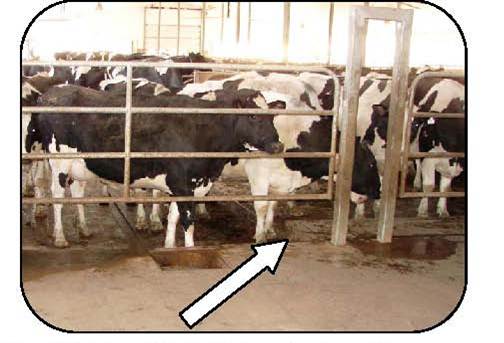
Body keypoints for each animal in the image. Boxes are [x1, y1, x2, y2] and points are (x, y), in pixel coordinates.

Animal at [26, 84, 284, 249]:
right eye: (252, 116)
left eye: (272, 116)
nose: (278, 145)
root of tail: (51, 93)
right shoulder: (183, 184)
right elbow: (188, 222)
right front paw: (190, 250)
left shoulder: (182, 185)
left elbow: (173, 217)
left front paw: (169, 246)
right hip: (59, 161)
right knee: (57, 197)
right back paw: (60, 237)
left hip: (79, 165)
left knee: (77, 192)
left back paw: (82, 228)